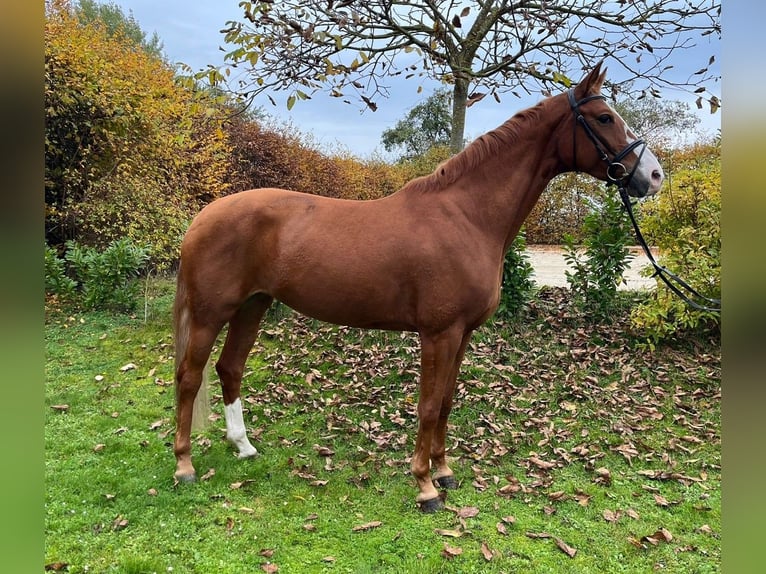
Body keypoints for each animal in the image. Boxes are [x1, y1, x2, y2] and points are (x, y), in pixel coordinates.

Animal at [172, 63, 664, 512]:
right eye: (604, 118)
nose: (655, 176)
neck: (466, 216)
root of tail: (204, 215)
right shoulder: (438, 333)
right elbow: (427, 406)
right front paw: (426, 487)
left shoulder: (463, 334)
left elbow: (445, 402)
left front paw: (444, 472)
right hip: (211, 313)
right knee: (189, 378)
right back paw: (185, 466)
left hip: (252, 306)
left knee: (229, 369)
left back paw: (244, 446)